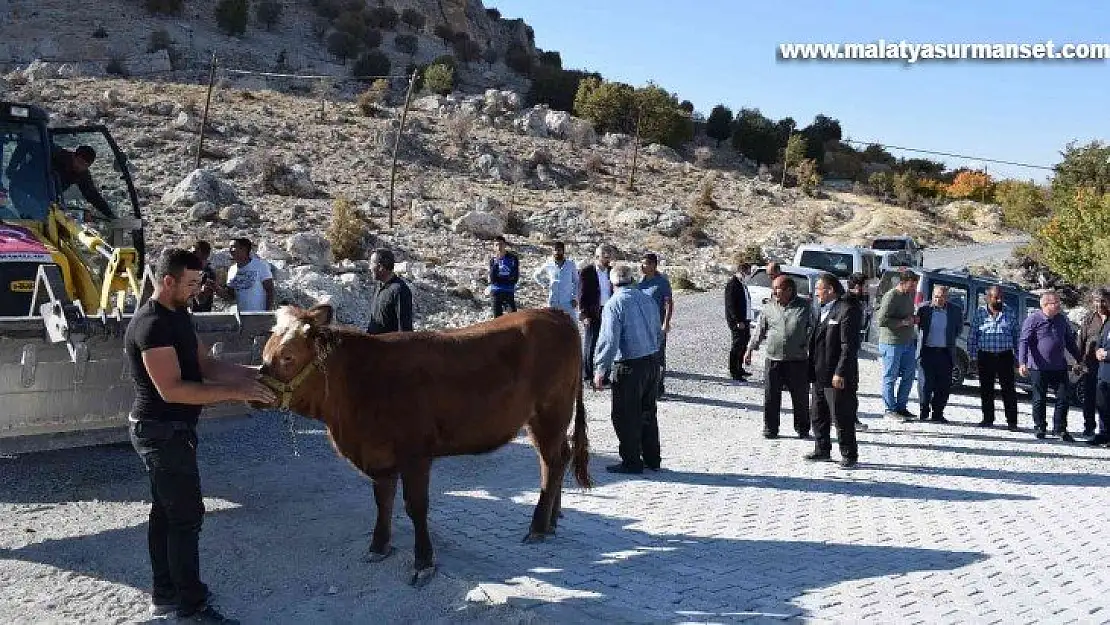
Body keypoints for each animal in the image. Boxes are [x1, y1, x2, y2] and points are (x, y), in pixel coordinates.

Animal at [256, 304, 594, 586]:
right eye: (264, 352)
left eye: (287, 357)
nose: (256, 390)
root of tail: (554, 313)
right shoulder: (380, 455)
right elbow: (383, 501)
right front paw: (379, 546)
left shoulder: (415, 455)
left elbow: (415, 507)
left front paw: (423, 562)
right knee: (558, 458)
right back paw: (551, 520)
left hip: (550, 412)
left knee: (552, 462)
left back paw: (537, 526)